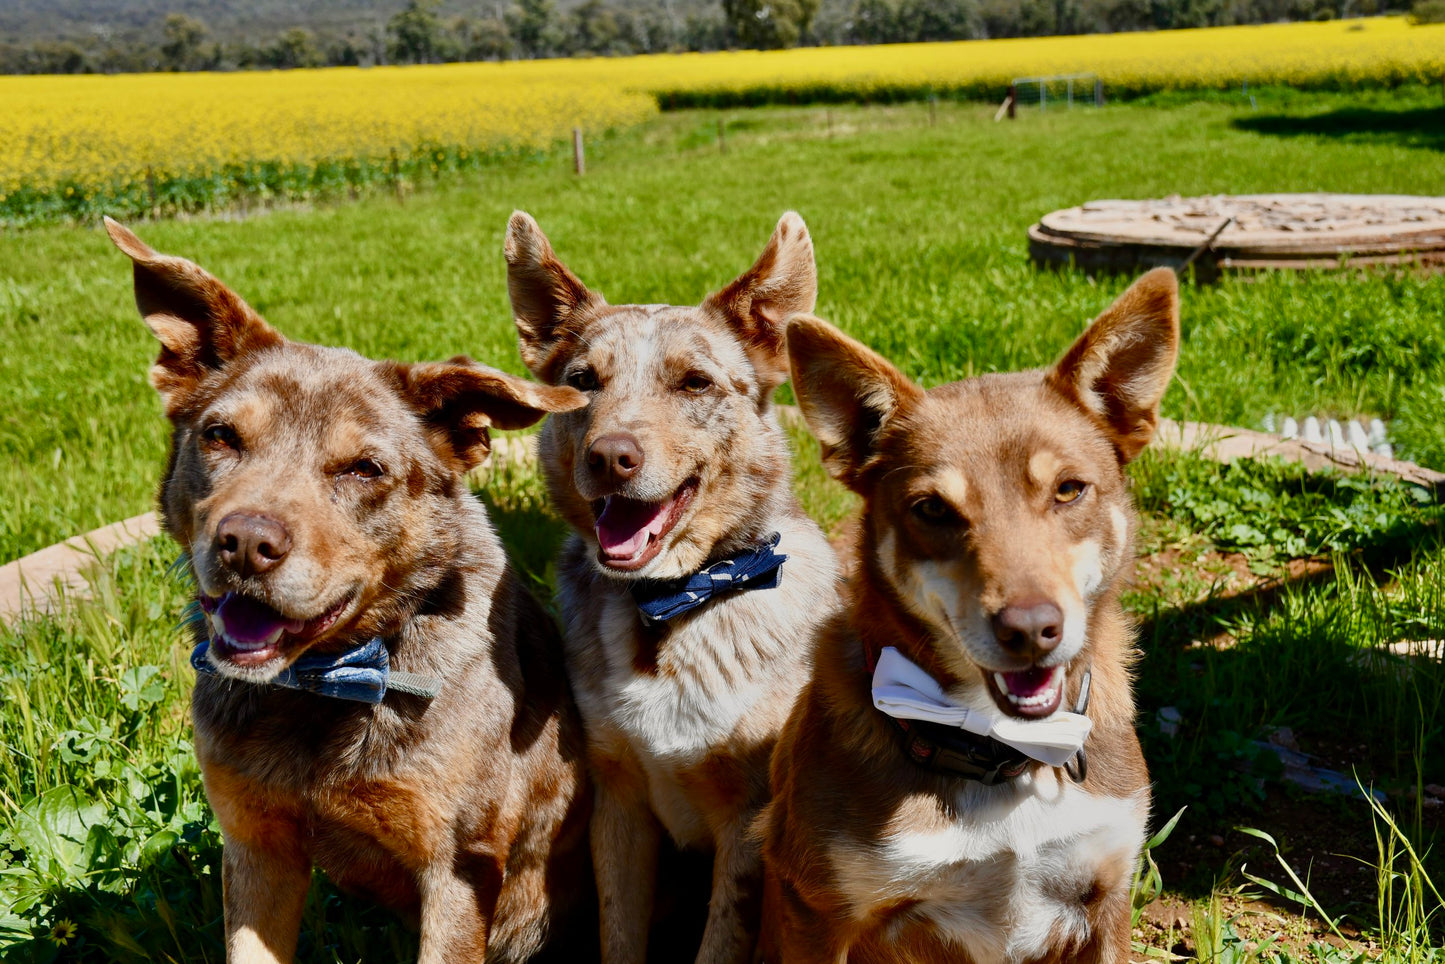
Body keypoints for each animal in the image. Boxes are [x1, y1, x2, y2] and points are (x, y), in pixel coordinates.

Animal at [104, 218, 592, 964]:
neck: (319, 689)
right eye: (220, 435)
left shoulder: (458, 868)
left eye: (364, 469)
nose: (245, 543)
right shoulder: (256, 847)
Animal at [508, 212, 843, 964]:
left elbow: (721, 942)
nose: (610, 458)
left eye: (694, 383)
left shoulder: (747, 820)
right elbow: (618, 934)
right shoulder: (618, 803)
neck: (668, 606)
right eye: (582, 382)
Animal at [762, 267, 1179, 959]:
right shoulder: (815, 913)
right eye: (932, 508)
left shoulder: (1107, 897)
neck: (1001, 748)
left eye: (1069, 489)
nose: (1031, 630)